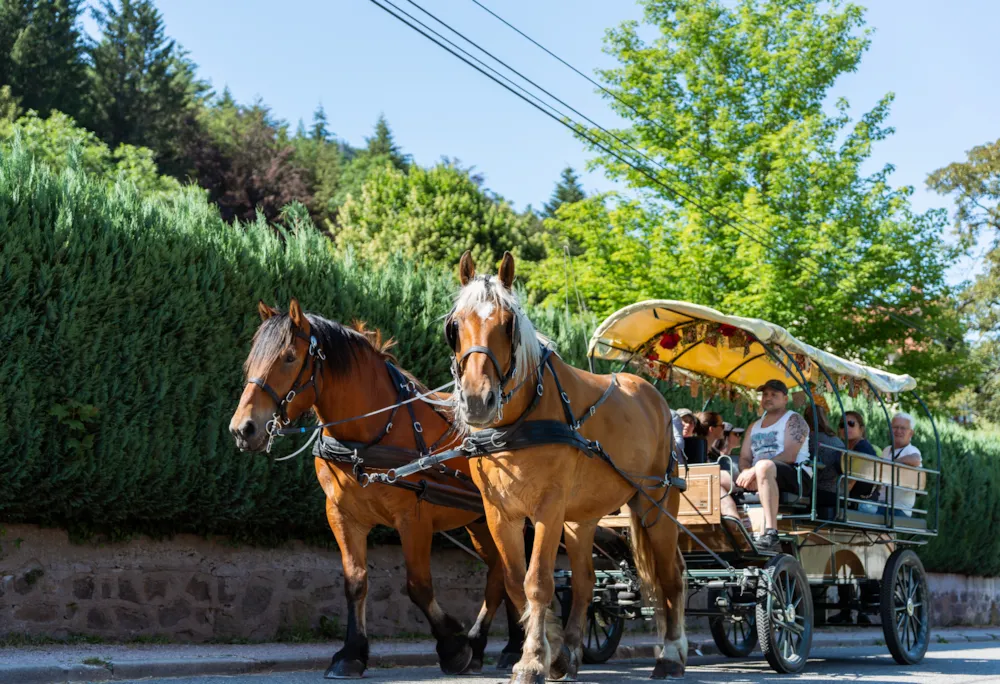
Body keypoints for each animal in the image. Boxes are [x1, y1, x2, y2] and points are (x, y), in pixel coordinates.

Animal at [228, 300, 524, 680]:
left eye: (289, 357)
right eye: (251, 359)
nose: (243, 429)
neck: (369, 434)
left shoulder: (414, 519)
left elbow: (418, 585)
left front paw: (452, 646)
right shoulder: (342, 515)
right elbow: (355, 582)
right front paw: (352, 653)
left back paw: (509, 645)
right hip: (479, 520)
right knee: (501, 572)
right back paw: (493, 644)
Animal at [446, 254, 688, 680]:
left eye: (507, 324)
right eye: (455, 325)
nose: (477, 400)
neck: (519, 423)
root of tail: (656, 398)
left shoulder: (548, 508)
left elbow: (538, 582)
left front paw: (530, 660)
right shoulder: (500, 514)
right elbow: (514, 581)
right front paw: (552, 650)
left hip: (656, 504)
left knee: (670, 576)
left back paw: (671, 655)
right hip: (582, 519)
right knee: (587, 581)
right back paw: (573, 652)